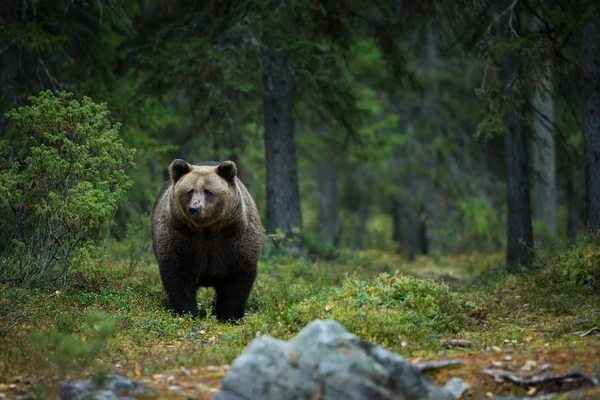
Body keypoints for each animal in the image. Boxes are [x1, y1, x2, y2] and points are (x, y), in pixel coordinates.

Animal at [151, 159, 262, 322]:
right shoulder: (180, 235)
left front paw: (230, 316)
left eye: (209, 192)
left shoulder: (234, 238)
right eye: (189, 191)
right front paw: (187, 312)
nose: (194, 209)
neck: (207, 230)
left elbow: (238, 276)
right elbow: (178, 274)